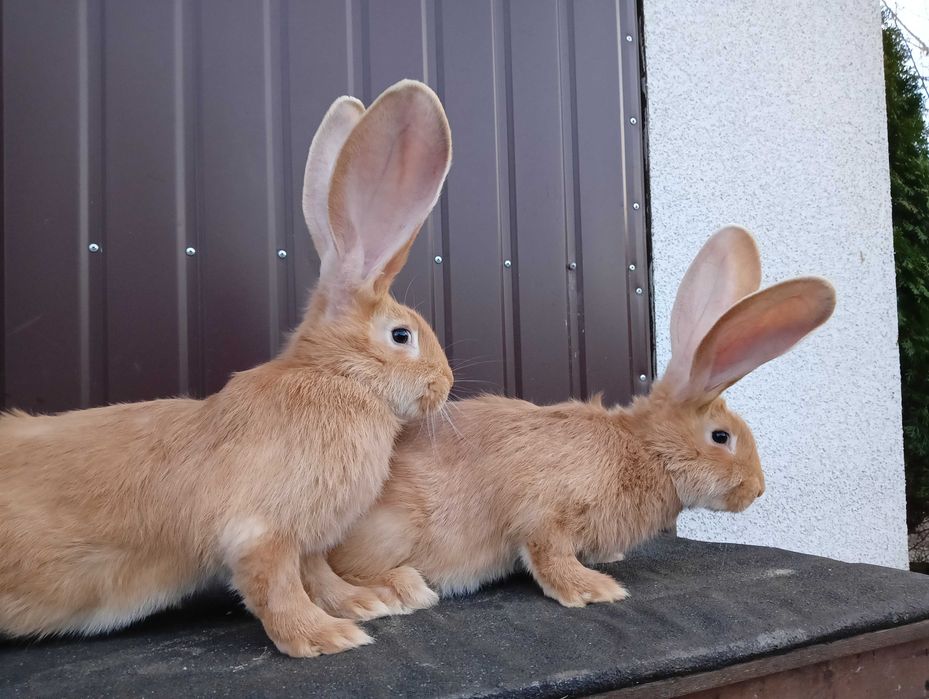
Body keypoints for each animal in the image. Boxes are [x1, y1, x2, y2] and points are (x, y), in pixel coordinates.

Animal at [0, 79, 454, 657]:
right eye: (401, 336)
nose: (446, 385)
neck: (335, 378)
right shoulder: (263, 531)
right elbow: (278, 586)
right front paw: (326, 636)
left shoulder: (307, 538)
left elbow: (317, 574)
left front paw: (364, 601)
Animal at [327, 225, 836, 611]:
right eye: (720, 437)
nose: (757, 490)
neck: (645, 449)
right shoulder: (546, 509)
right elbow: (548, 551)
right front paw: (595, 590)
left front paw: (607, 561)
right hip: (390, 532)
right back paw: (405, 589)